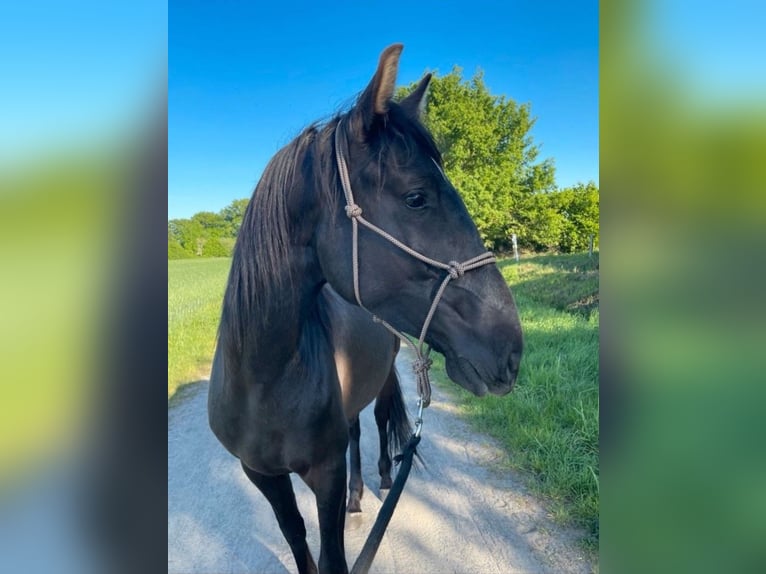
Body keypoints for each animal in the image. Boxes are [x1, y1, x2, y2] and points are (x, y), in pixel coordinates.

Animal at [208, 44, 524, 574]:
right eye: (416, 198)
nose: (511, 349)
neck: (264, 381)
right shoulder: (261, 474)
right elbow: (296, 538)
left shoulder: (325, 473)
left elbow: (331, 553)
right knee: (355, 428)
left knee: (373, 423)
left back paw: (378, 480)